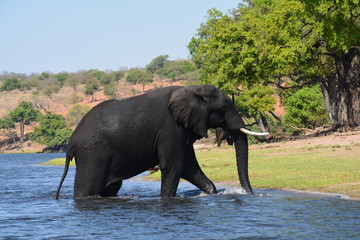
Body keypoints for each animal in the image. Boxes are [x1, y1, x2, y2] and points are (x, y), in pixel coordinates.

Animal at [54, 84, 266, 199]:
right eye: (224, 107)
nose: (247, 193)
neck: (192, 89)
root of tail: (71, 143)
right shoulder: (170, 127)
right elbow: (173, 165)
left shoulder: (183, 129)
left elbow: (189, 167)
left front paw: (211, 193)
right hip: (92, 154)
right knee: (87, 188)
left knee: (112, 187)